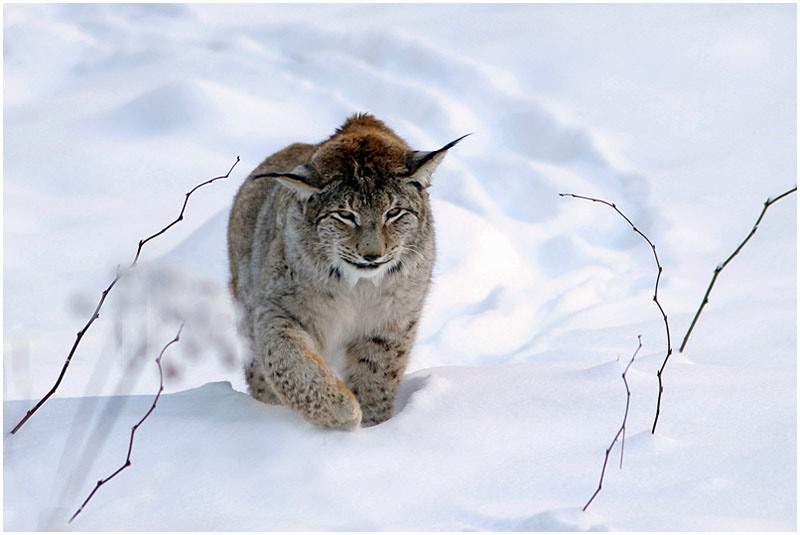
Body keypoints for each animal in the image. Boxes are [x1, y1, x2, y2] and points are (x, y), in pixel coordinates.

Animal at [227, 115, 468, 430]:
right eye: (345, 215)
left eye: (393, 213)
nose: (372, 254)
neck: (356, 285)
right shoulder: (276, 308)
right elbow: (286, 358)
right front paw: (342, 411)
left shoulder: (391, 323)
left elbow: (376, 377)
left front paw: (371, 427)